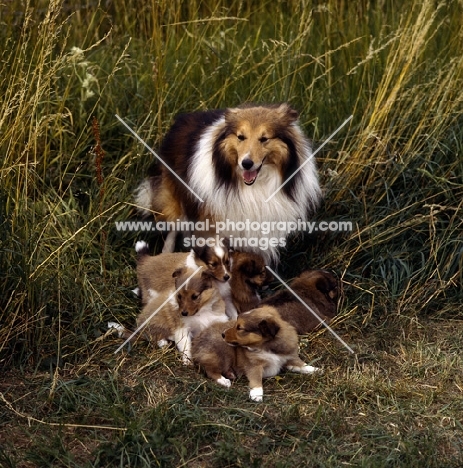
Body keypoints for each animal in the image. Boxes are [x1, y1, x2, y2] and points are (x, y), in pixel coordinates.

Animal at [135, 103, 322, 262]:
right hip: (176, 196)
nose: (246, 163)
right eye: (241, 137)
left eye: (264, 138)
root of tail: (181, 119)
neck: (254, 185)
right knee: (174, 225)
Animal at [191, 306, 320, 400]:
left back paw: (230, 374)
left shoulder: (289, 357)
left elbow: (301, 364)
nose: (223, 334)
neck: (266, 346)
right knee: (210, 370)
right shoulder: (254, 365)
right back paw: (224, 380)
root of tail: (195, 345)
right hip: (222, 352)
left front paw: (315, 369)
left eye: (239, 328)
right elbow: (256, 377)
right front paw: (257, 394)